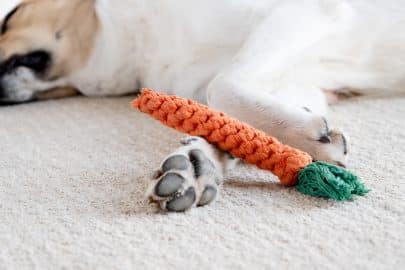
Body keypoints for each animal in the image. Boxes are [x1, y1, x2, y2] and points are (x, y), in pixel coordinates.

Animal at [1, 0, 402, 210]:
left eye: (8, 16)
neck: (143, 41)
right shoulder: (294, 81)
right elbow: (230, 123)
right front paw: (195, 166)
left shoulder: (301, 14)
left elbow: (221, 88)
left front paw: (312, 139)